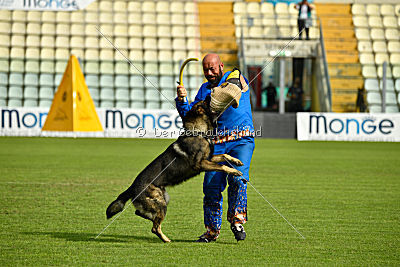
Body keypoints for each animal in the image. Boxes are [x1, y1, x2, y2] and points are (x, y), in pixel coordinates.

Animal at [106, 98, 242, 243]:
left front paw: (236, 162)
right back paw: (166, 240)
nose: (209, 94)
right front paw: (234, 171)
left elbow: (224, 156)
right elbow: (222, 166)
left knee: (140, 213)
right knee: (154, 227)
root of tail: (132, 187)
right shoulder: (201, 164)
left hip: (164, 198)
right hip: (161, 203)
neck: (198, 132)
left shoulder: (209, 158)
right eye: (205, 101)